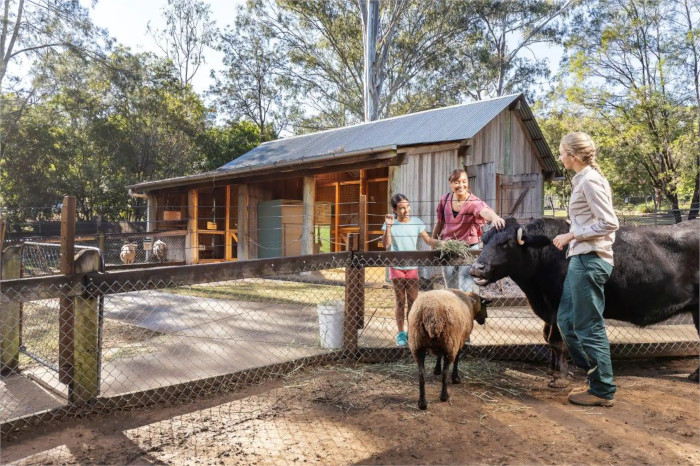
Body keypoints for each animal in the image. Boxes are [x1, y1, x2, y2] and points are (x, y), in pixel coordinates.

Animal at [470, 217, 700, 384]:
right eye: (485, 241)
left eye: (506, 243)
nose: (476, 268)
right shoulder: (547, 310)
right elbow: (547, 338)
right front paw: (552, 370)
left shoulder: (559, 307)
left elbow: (557, 341)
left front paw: (559, 376)